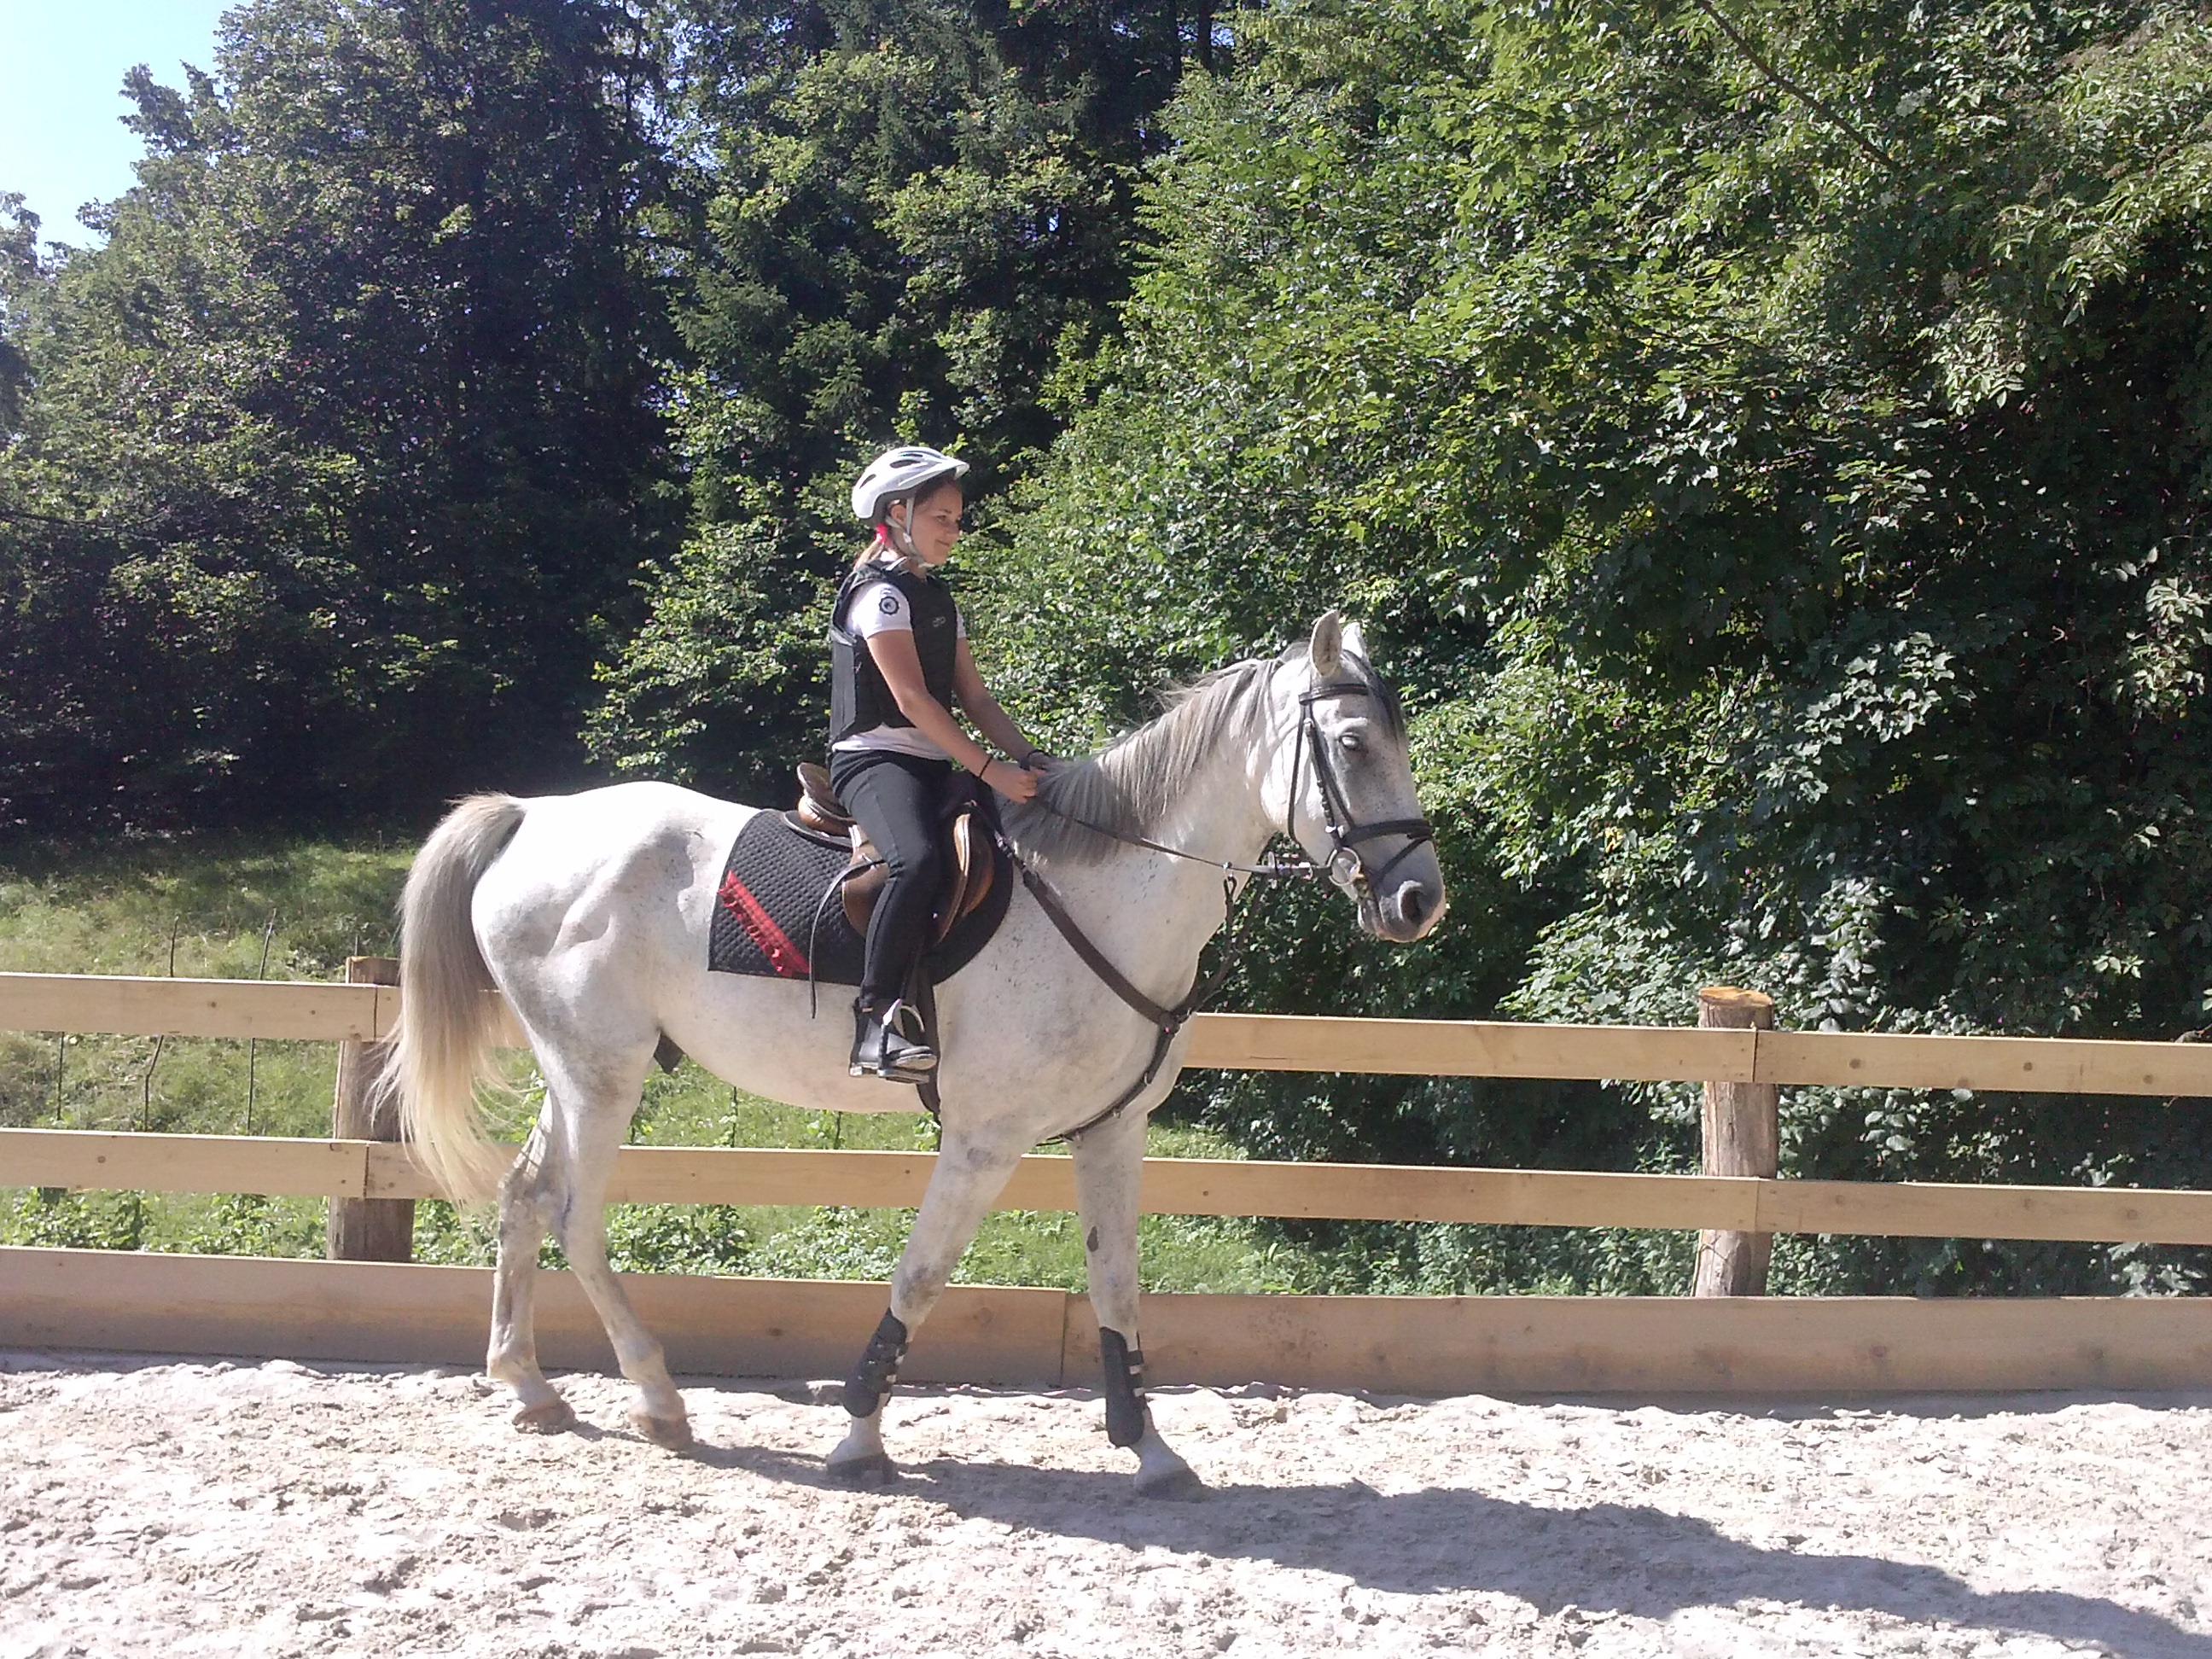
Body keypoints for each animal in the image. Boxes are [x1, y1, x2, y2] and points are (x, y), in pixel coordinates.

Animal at [386, 611, 1446, 1498]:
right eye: (1353, 744)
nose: (1419, 901)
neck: (1102, 895)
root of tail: (534, 815)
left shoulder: (1110, 1133)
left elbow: (1117, 1286)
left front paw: (1148, 1447)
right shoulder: (984, 1141)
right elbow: (922, 1278)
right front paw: (859, 1435)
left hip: (582, 1072)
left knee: (526, 1197)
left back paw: (529, 1385)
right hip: (602, 1079)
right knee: (576, 1216)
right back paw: (656, 1397)